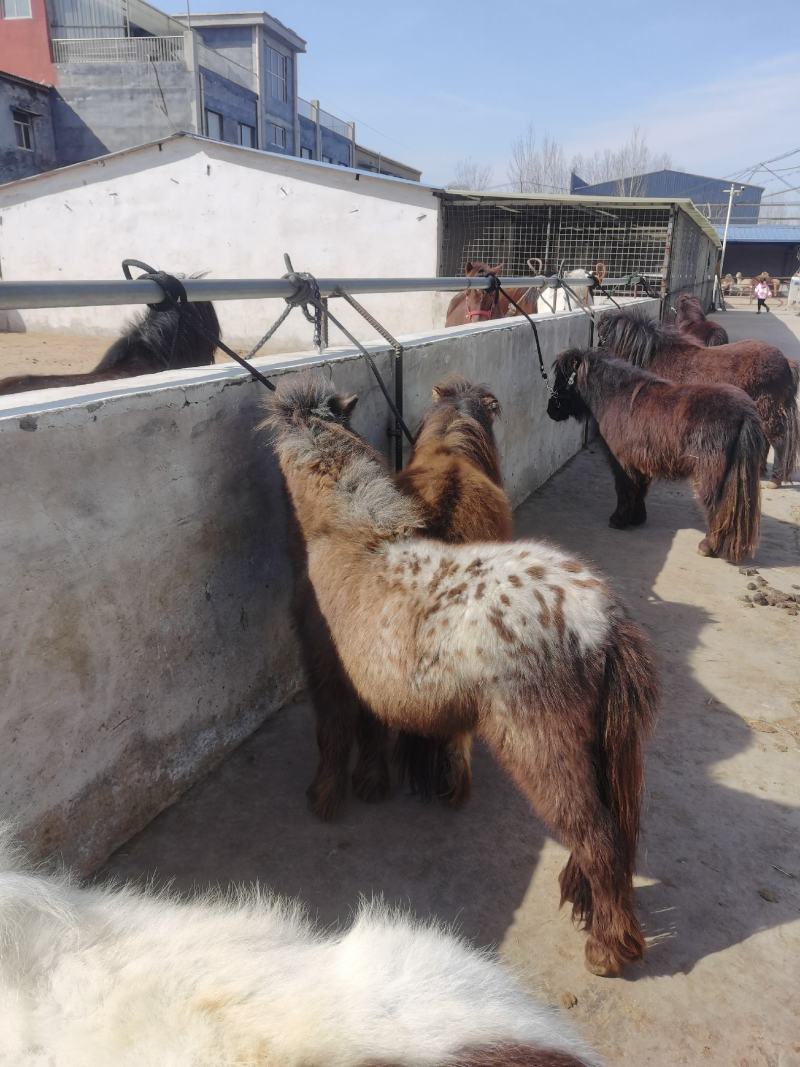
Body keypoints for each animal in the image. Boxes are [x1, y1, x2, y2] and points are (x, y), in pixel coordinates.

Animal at [547, 348, 765, 562]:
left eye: (563, 378)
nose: (550, 410)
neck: (615, 397)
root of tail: (745, 413)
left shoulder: (622, 464)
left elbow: (624, 490)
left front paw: (618, 520)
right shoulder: (639, 463)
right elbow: (639, 490)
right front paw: (636, 518)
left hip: (710, 478)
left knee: (717, 509)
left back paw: (707, 546)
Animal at [596, 308, 799, 487]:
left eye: (603, 338)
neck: (657, 358)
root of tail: (785, 363)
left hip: (768, 407)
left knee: (778, 439)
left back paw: (775, 479)